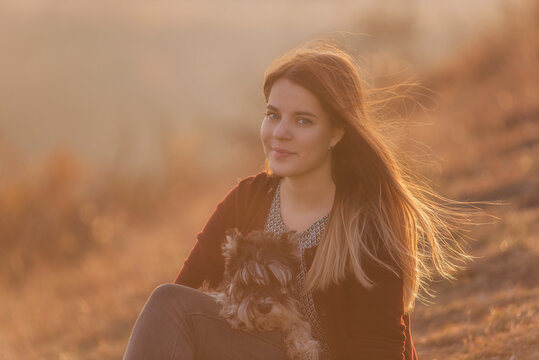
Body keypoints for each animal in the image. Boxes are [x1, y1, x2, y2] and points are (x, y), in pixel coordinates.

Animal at [211, 229, 320, 358]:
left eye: (276, 280)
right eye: (248, 282)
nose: (264, 308)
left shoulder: (293, 314)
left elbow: (298, 324)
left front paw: (305, 350)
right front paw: (235, 313)